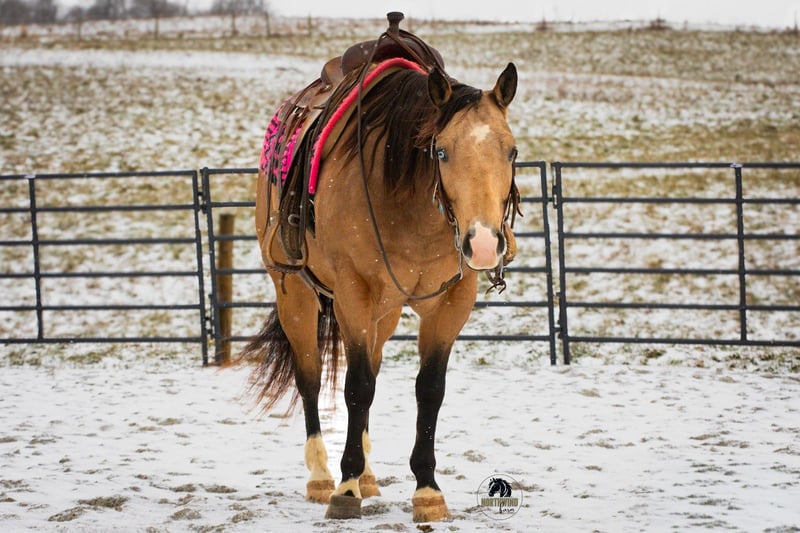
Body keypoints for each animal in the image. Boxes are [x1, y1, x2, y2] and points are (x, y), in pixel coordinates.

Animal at [241, 14, 519, 523]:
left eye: (510, 151)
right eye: (442, 151)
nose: (485, 244)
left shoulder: (453, 300)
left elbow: (428, 388)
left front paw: (427, 490)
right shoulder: (353, 293)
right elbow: (356, 387)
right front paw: (346, 489)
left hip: (384, 312)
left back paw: (369, 476)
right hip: (295, 294)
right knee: (311, 377)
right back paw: (323, 477)